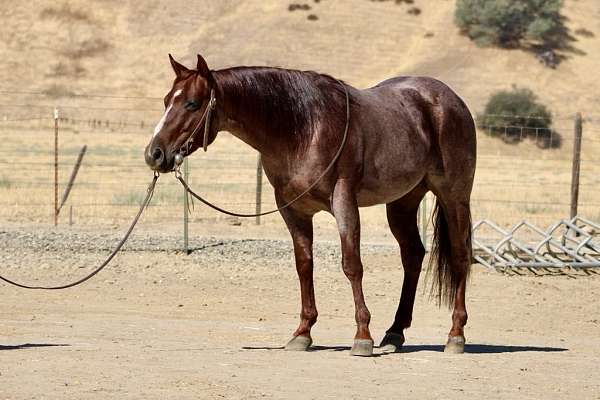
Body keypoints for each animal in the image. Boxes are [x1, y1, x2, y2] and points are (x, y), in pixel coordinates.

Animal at [143, 53, 476, 356]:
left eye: (192, 104)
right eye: (166, 101)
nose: (154, 154)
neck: (304, 128)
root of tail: (450, 100)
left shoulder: (344, 202)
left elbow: (352, 265)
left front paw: (362, 336)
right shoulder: (293, 210)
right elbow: (304, 265)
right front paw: (302, 333)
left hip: (454, 197)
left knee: (460, 256)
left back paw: (455, 335)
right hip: (402, 202)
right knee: (413, 255)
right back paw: (394, 333)